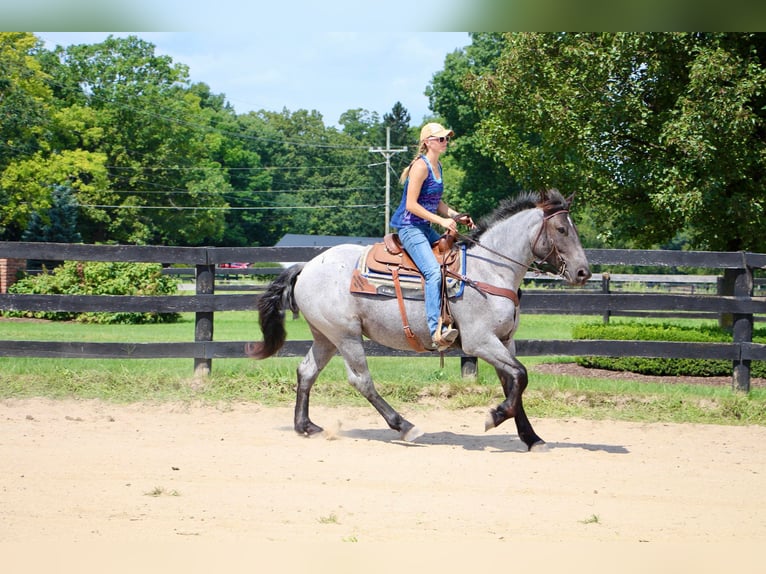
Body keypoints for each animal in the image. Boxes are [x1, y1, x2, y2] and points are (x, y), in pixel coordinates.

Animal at [249, 191, 592, 452]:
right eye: (562, 229)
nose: (583, 272)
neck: (489, 270)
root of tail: (306, 266)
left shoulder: (505, 341)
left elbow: (514, 384)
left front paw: (531, 438)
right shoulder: (479, 342)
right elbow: (521, 376)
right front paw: (494, 416)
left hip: (326, 336)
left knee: (307, 371)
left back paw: (305, 426)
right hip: (346, 336)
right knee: (361, 380)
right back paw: (405, 426)